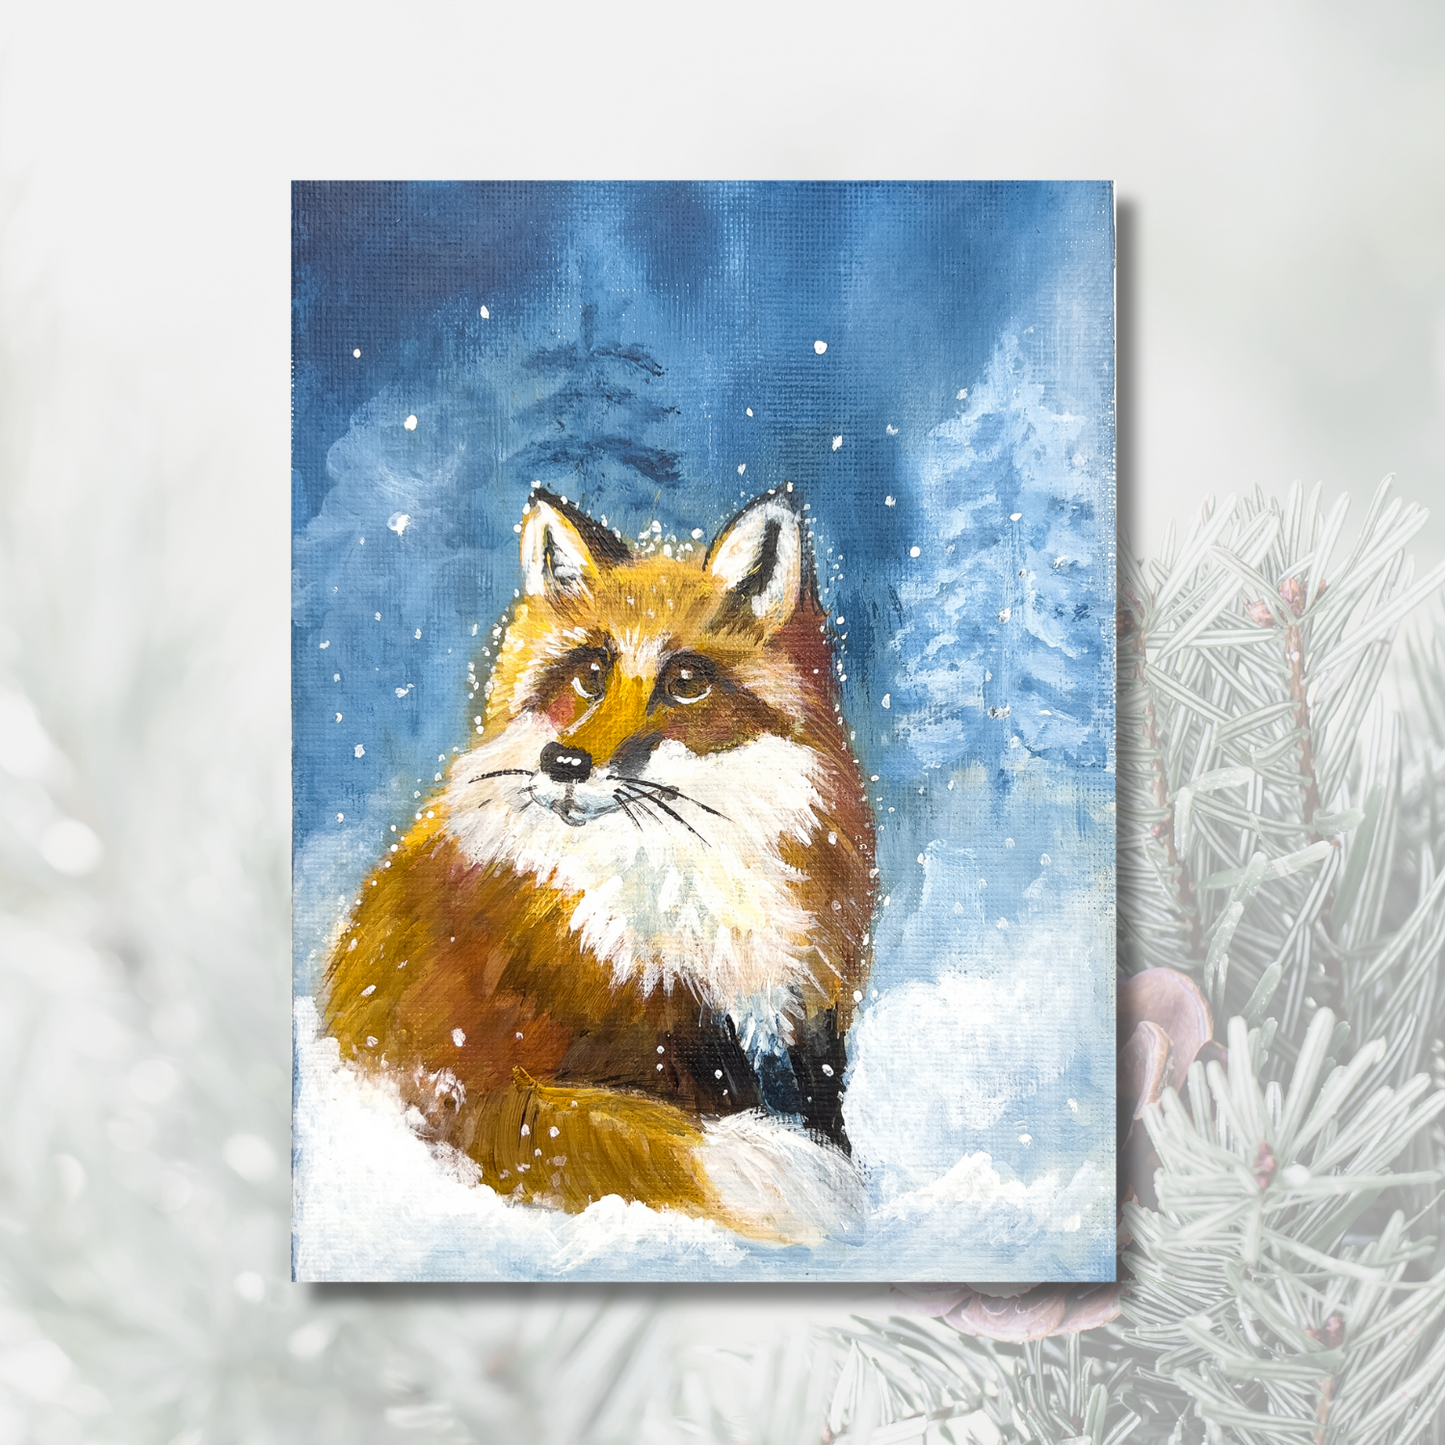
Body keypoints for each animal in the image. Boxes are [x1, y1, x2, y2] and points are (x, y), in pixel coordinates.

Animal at [321, 486, 877, 1244]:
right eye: (589, 675)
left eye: (684, 682)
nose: (563, 763)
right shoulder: (639, 1038)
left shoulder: (808, 1012)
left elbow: (824, 1114)